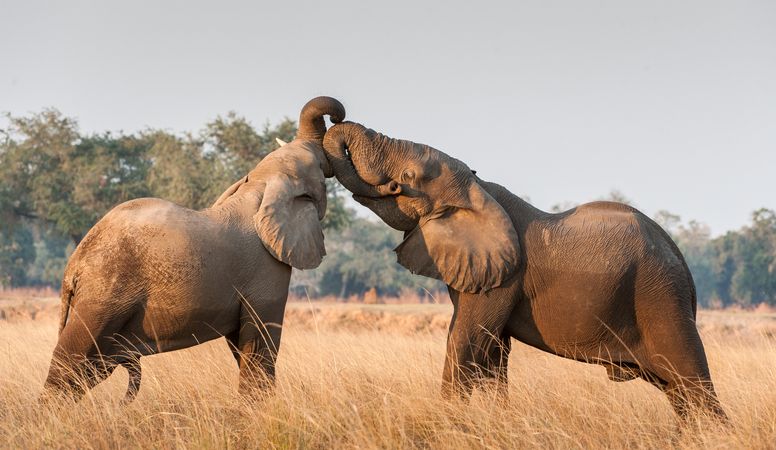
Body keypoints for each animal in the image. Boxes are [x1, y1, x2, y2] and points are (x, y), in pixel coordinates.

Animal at [43, 96, 346, 402]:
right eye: (320, 168)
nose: (336, 120)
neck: (259, 185)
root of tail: (74, 264)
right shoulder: (267, 269)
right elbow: (260, 343)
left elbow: (242, 344)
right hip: (104, 296)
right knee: (71, 361)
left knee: (90, 368)